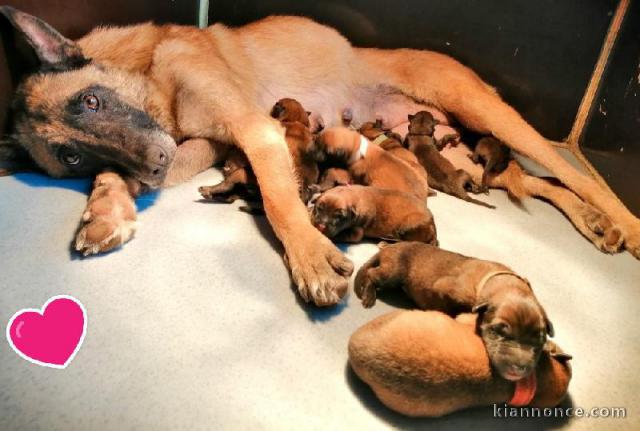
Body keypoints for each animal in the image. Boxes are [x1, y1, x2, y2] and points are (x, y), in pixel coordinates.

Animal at [308, 186, 438, 246]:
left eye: (339, 216)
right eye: (319, 208)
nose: (320, 226)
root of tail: (433, 226)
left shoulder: (358, 231)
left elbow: (341, 235)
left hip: (407, 224)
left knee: (408, 242)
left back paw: (385, 243)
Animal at [356, 241, 556, 384]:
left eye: (539, 339)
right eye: (499, 331)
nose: (518, 370)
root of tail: (388, 248)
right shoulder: (444, 291)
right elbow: (450, 309)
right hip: (393, 273)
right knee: (372, 274)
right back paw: (368, 296)